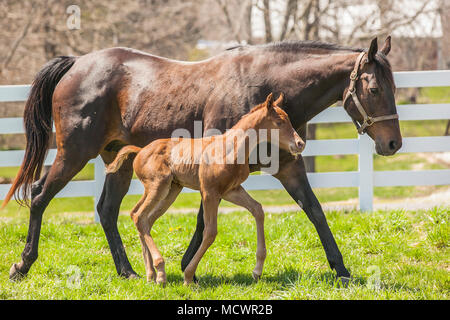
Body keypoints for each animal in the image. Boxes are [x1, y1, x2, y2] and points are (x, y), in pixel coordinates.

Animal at [105, 93, 304, 284]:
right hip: (158, 186)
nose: (300, 144)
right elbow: (210, 232)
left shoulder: (231, 190)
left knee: (143, 217)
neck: (230, 149)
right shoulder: (209, 192)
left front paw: (257, 271)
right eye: (279, 122)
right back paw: (160, 273)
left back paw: (151, 274)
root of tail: (140, 151)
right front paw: (188, 276)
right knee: (140, 217)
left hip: (170, 190)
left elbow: (258, 209)